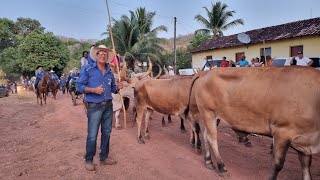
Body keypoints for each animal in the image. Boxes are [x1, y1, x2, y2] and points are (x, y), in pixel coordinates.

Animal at [186, 66, 320, 180]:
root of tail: (205, 72)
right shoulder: (282, 132)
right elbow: (277, 164)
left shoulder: (305, 142)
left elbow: (306, 168)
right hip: (208, 113)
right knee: (212, 139)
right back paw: (221, 167)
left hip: (214, 117)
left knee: (205, 135)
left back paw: (208, 161)